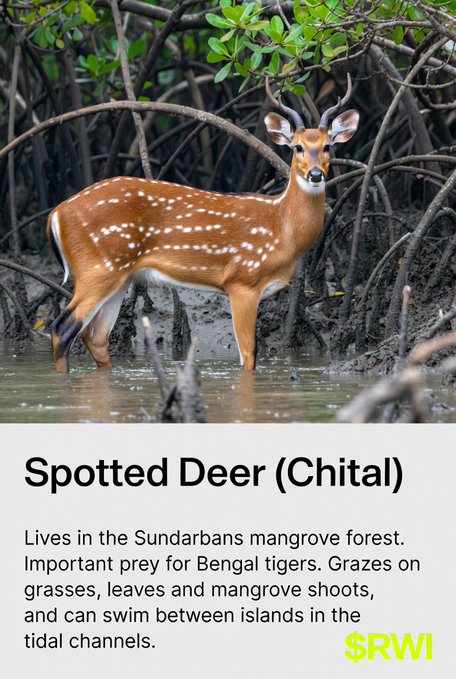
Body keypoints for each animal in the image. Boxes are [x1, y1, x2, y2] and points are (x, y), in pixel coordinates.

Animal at [47, 76, 359, 373]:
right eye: (298, 148)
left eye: (328, 146)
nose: (316, 174)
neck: (282, 228)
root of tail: (56, 214)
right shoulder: (242, 279)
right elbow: (248, 355)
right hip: (98, 267)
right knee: (63, 328)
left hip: (121, 275)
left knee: (96, 336)